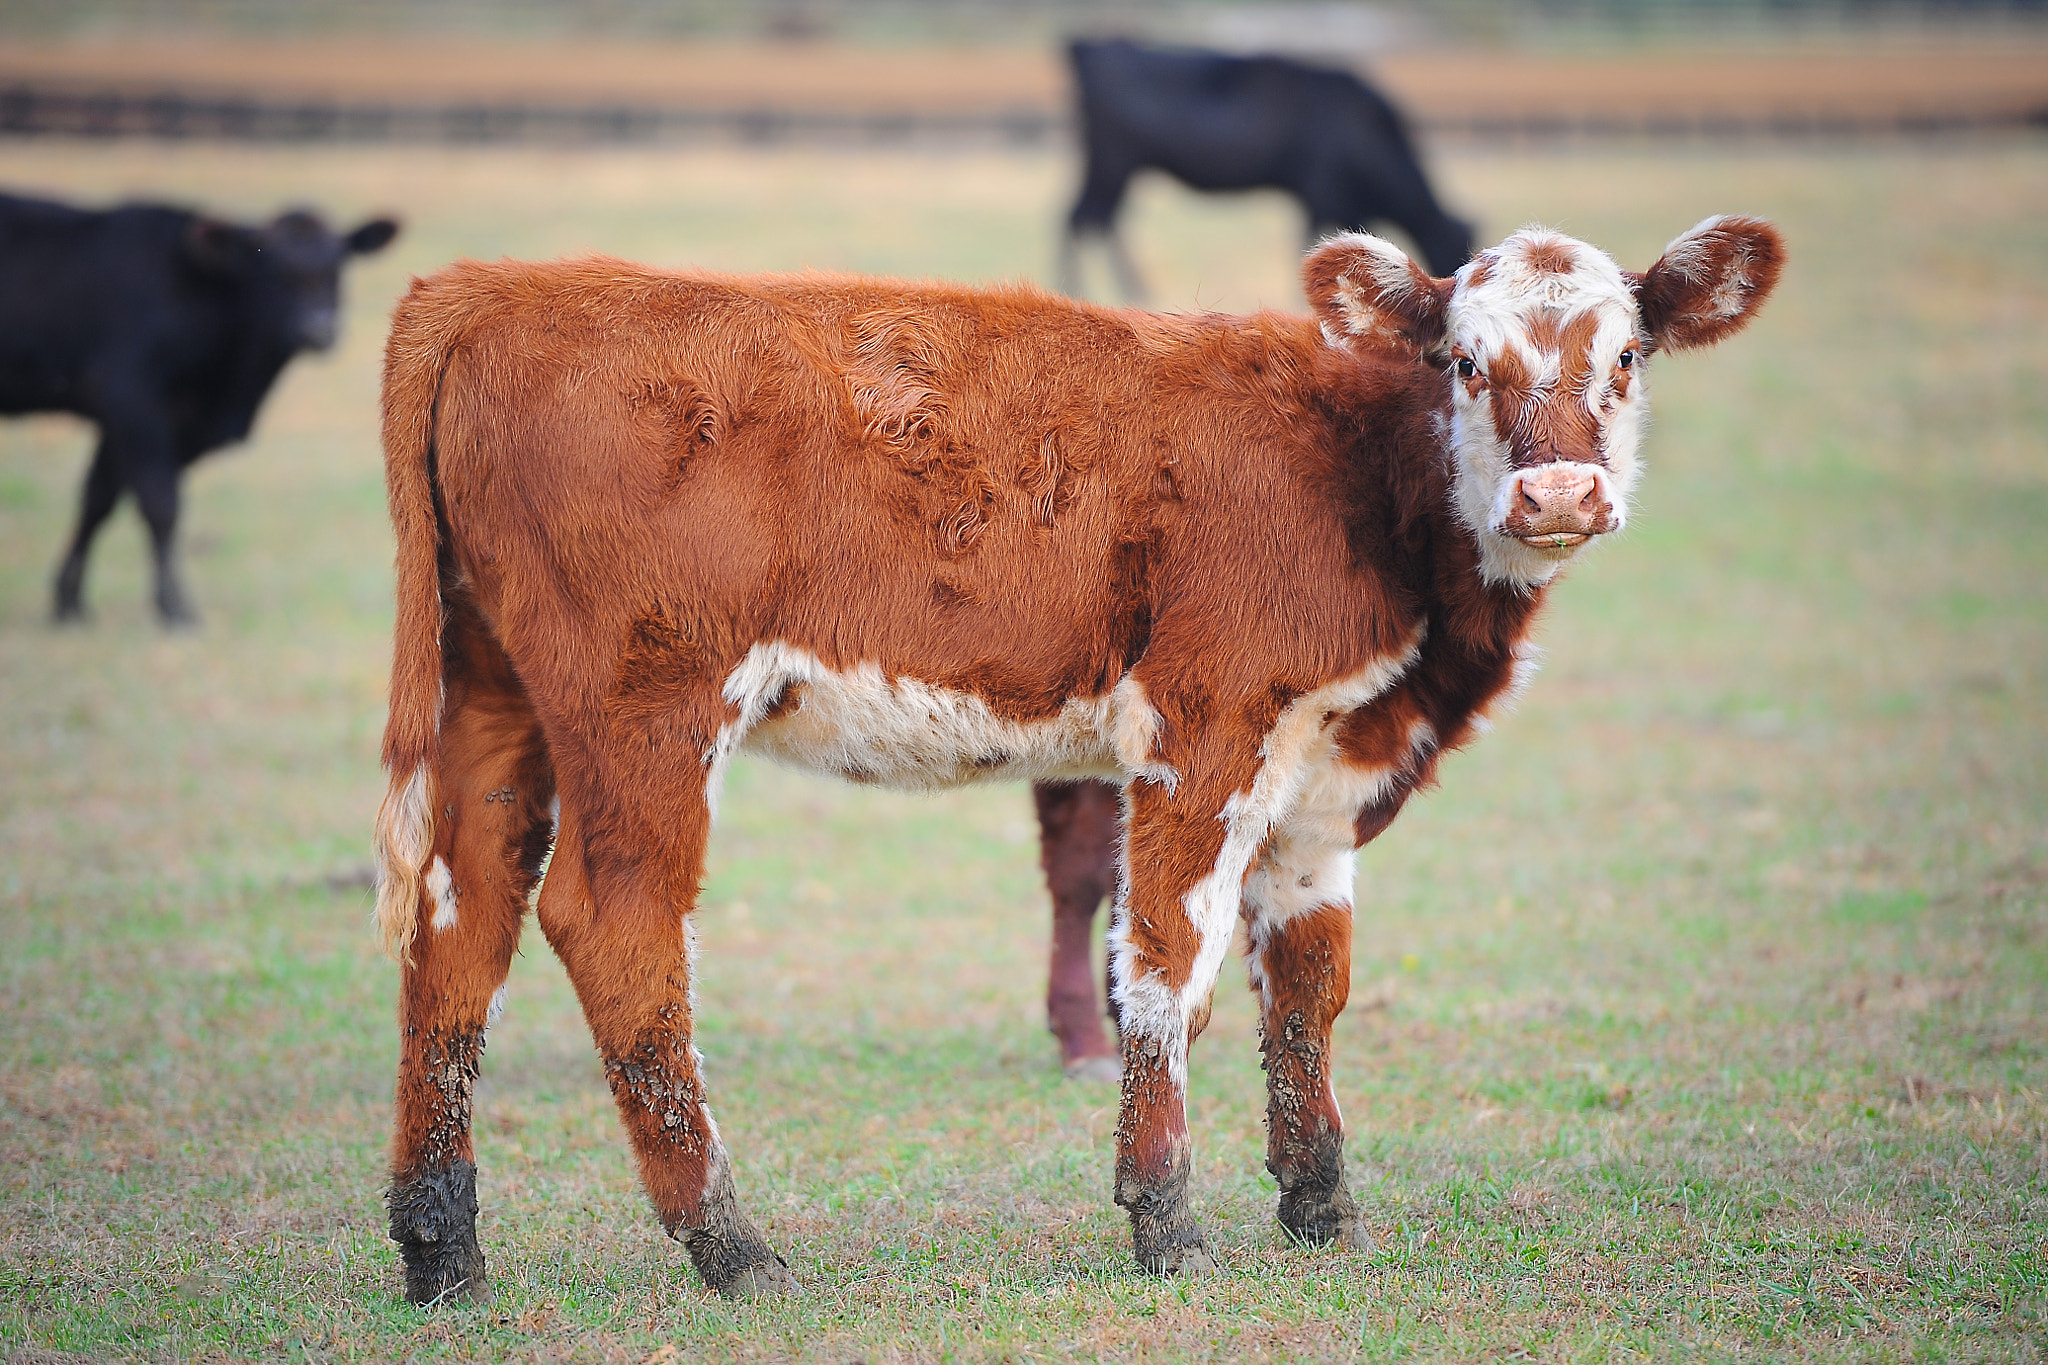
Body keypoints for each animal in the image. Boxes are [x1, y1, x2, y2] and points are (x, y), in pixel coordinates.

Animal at [0, 192, 399, 624]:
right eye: (271, 267)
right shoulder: (135, 403)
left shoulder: (125, 424)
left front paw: (68, 602)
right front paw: (175, 608)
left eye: (339, 263)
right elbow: (160, 505)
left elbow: (97, 501)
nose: (320, 328)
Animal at [370, 216, 1782, 1303]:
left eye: (1626, 353)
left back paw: (442, 1247)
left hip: (495, 696)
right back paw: (729, 1246)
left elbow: (1305, 990)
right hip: (645, 705)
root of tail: (491, 286)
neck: (1354, 466)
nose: (1557, 496)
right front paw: (1164, 1215)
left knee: (459, 920)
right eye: (1461, 356)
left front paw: (1319, 1204)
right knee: (613, 926)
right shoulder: (1203, 728)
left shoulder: (1322, 781)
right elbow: (1166, 968)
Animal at [1059, 38, 1473, 301]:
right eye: (1453, 251)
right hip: (1113, 162)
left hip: (1113, 165)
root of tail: (1089, 47)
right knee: (1084, 218)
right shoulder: (1323, 196)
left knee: (1088, 218)